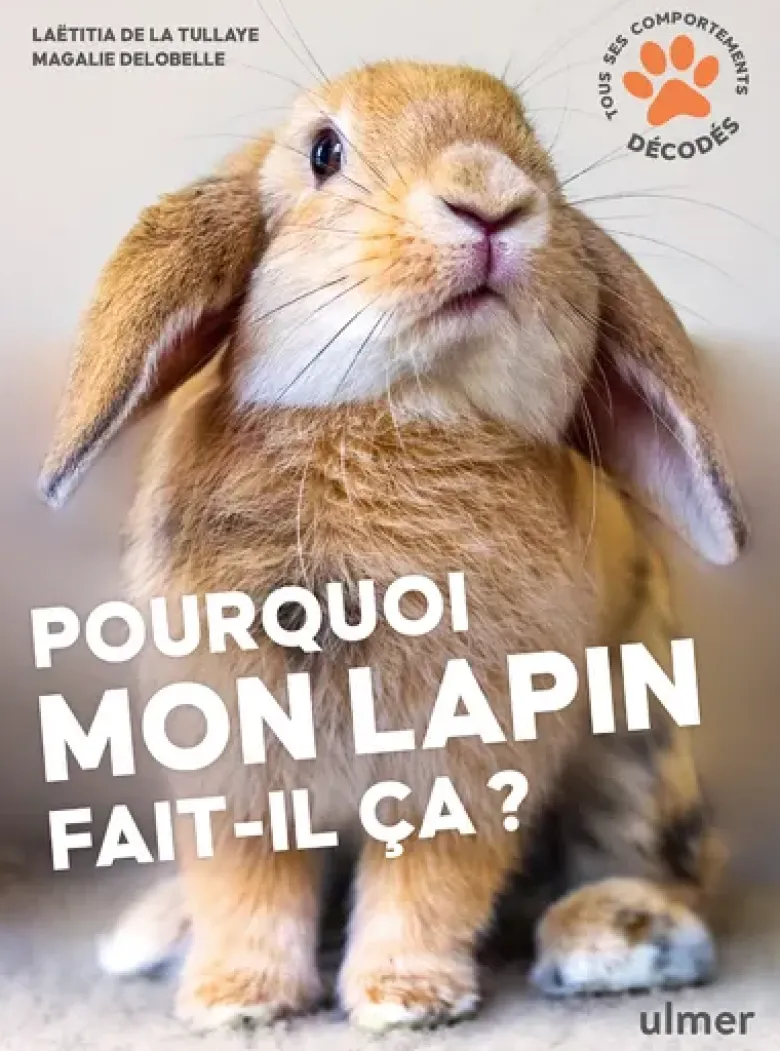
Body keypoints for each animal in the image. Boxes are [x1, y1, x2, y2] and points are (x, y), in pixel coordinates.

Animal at [39, 61, 747, 1032]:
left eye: (534, 148)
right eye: (323, 152)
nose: (491, 199)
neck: (403, 409)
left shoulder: (465, 753)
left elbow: (427, 880)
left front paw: (402, 999)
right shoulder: (230, 751)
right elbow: (248, 879)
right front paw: (236, 998)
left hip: (638, 758)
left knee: (669, 864)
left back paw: (611, 935)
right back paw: (155, 934)